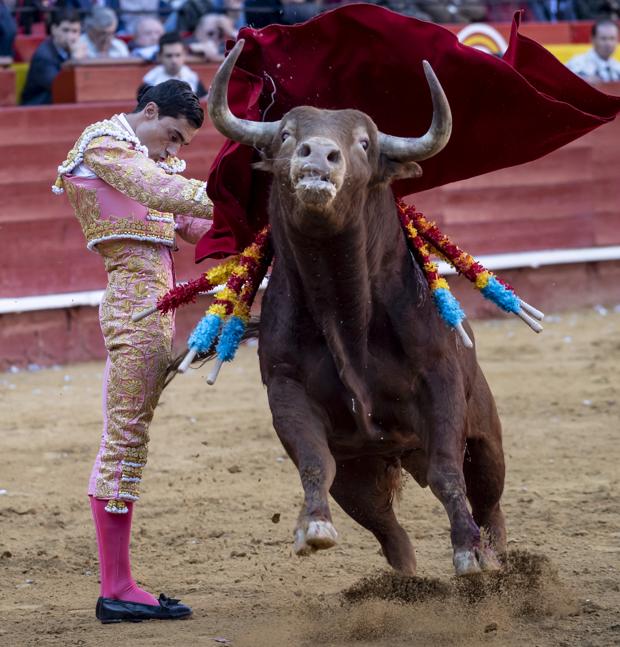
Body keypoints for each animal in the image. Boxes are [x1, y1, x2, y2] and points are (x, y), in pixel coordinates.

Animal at [208, 40, 508, 576]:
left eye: (365, 143)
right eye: (285, 134)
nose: (318, 155)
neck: (343, 303)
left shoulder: (442, 381)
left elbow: (447, 471)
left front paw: (468, 552)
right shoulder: (287, 390)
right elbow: (314, 461)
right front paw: (313, 527)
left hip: (486, 437)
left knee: (487, 499)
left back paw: (495, 555)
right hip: (360, 473)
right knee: (389, 531)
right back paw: (407, 580)